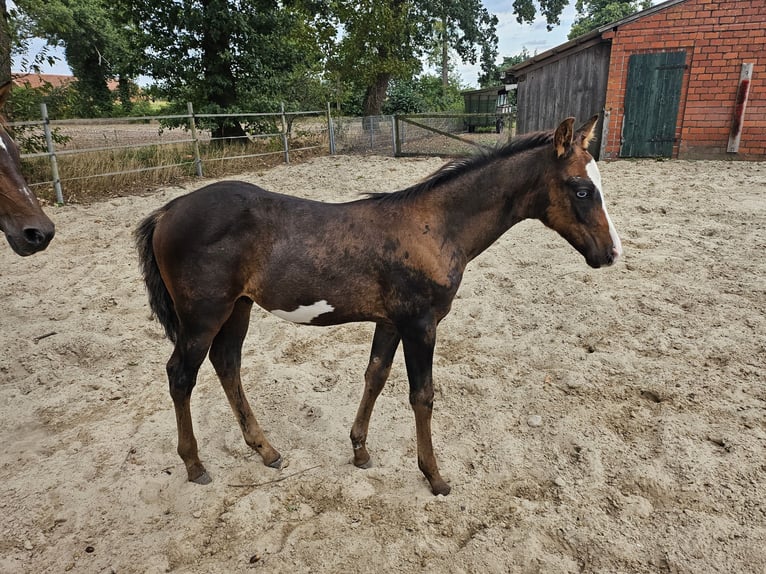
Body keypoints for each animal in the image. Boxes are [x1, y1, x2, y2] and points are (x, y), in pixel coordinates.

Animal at [135, 116, 621, 496]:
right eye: (581, 189)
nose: (611, 252)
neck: (436, 226)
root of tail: (168, 210)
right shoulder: (421, 324)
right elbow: (422, 395)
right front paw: (434, 476)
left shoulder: (391, 323)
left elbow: (375, 377)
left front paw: (360, 450)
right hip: (202, 316)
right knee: (181, 375)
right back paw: (195, 464)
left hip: (238, 308)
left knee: (227, 363)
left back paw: (266, 450)